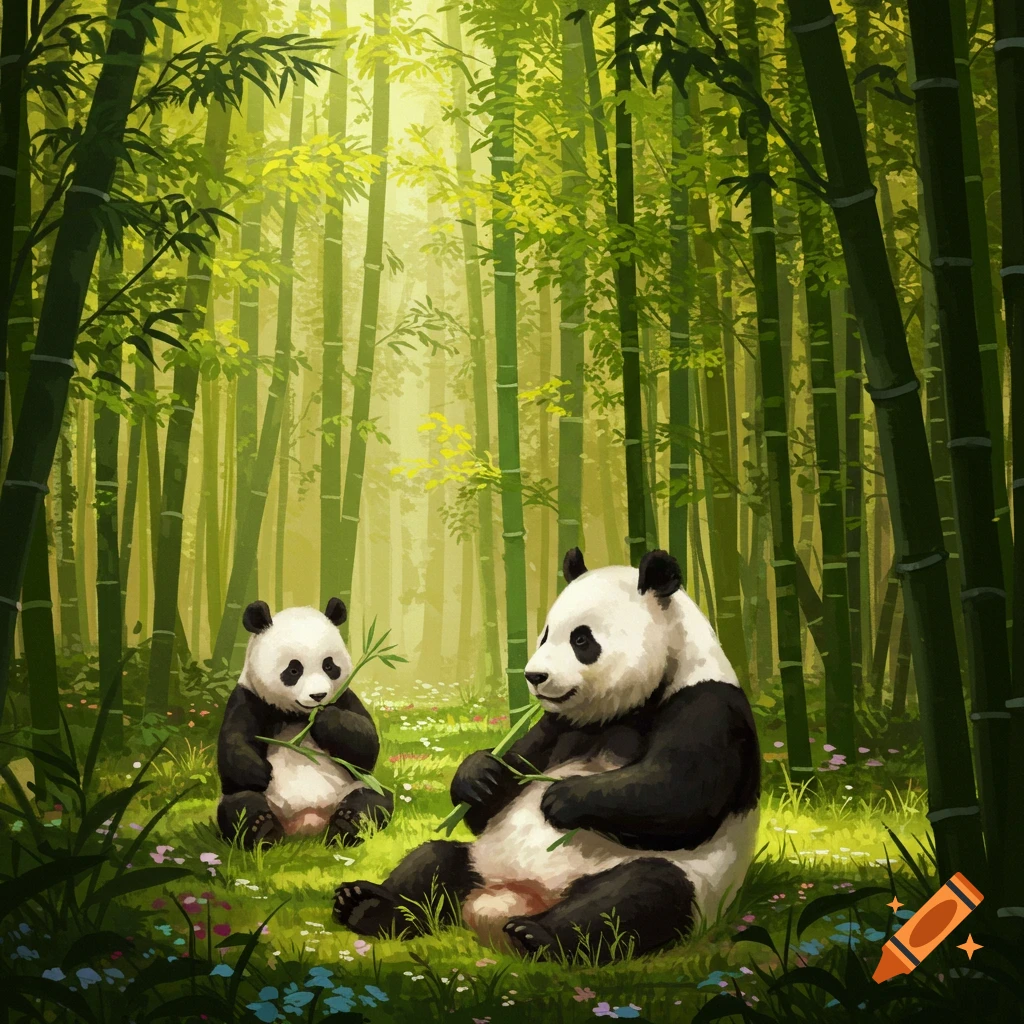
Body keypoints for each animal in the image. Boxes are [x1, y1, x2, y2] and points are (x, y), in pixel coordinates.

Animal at [217, 598, 393, 850]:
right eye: (293, 669)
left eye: (329, 666)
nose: (318, 696)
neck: (298, 716)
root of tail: (307, 825)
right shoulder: (248, 697)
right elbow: (233, 745)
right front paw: (260, 771)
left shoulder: (345, 697)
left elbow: (366, 748)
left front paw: (325, 720)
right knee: (239, 804)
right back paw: (263, 830)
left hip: (352, 788)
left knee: (374, 799)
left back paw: (345, 825)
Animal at [331, 549, 760, 961]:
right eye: (545, 635)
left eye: (582, 640)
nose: (534, 677)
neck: (628, 708)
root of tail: (501, 906)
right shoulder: (557, 724)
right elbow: (499, 787)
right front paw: (480, 776)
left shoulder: (708, 705)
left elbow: (680, 794)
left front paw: (561, 798)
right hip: (482, 861)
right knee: (434, 863)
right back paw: (366, 906)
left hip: (679, 881)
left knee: (640, 894)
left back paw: (536, 936)